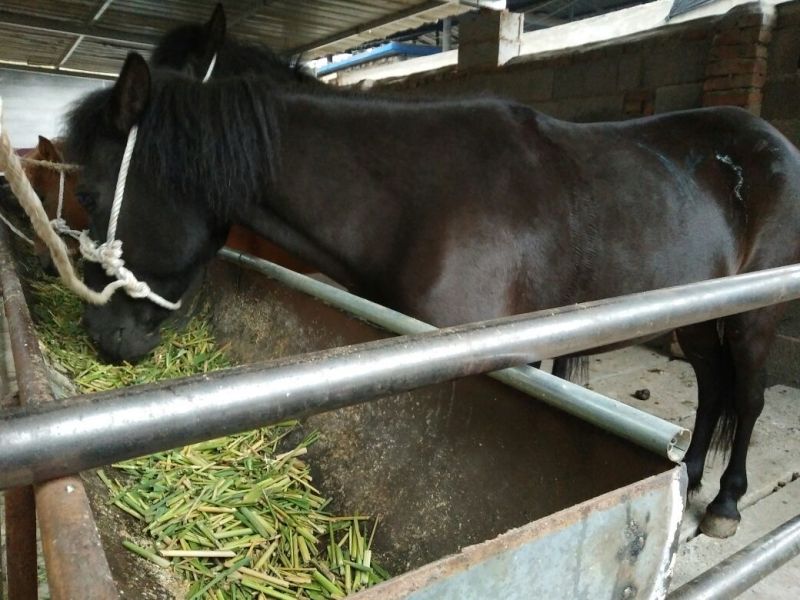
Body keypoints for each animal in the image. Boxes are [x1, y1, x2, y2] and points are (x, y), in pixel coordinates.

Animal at [64, 51, 800, 539]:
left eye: (91, 194)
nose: (103, 339)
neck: (423, 205)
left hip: (755, 317)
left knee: (749, 397)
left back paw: (725, 503)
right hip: (700, 314)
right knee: (712, 385)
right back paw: (693, 472)